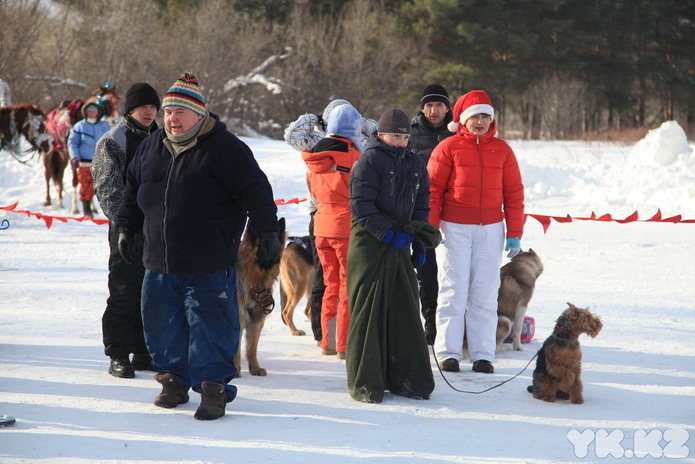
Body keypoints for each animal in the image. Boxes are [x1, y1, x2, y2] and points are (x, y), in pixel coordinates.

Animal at [235, 218, 286, 376]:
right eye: (265, 245)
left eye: (278, 245)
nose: (277, 257)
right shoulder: (238, 319)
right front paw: (235, 369)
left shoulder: (257, 319)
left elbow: (252, 347)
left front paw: (255, 368)